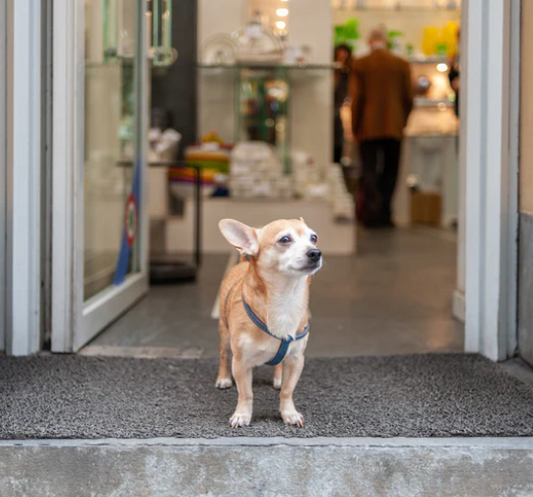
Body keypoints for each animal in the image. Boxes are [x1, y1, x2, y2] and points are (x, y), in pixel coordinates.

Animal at [215, 217, 322, 426]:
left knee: (279, 365)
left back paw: (279, 379)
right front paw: (242, 415)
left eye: (313, 238)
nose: (315, 252)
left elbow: (288, 391)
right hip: (225, 334)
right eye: (285, 239)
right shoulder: (241, 363)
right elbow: (246, 393)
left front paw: (289, 413)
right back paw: (223, 378)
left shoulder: (296, 360)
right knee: (224, 354)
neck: (285, 300)